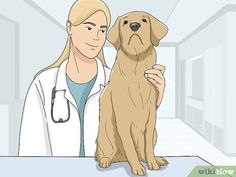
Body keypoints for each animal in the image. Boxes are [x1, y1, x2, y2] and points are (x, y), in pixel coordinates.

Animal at [95, 11, 168, 176]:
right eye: (125, 22)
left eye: (144, 20)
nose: (135, 25)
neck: (136, 63)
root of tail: (119, 158)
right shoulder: (123, 118)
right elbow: (129, 146)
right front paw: (137, 168)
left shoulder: (151, 117)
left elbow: (148, 147)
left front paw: (152, 163)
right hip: (106, 137)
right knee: (103, 153)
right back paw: (105, 161)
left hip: (155, 133)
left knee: (143, 150)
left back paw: (157, 159)